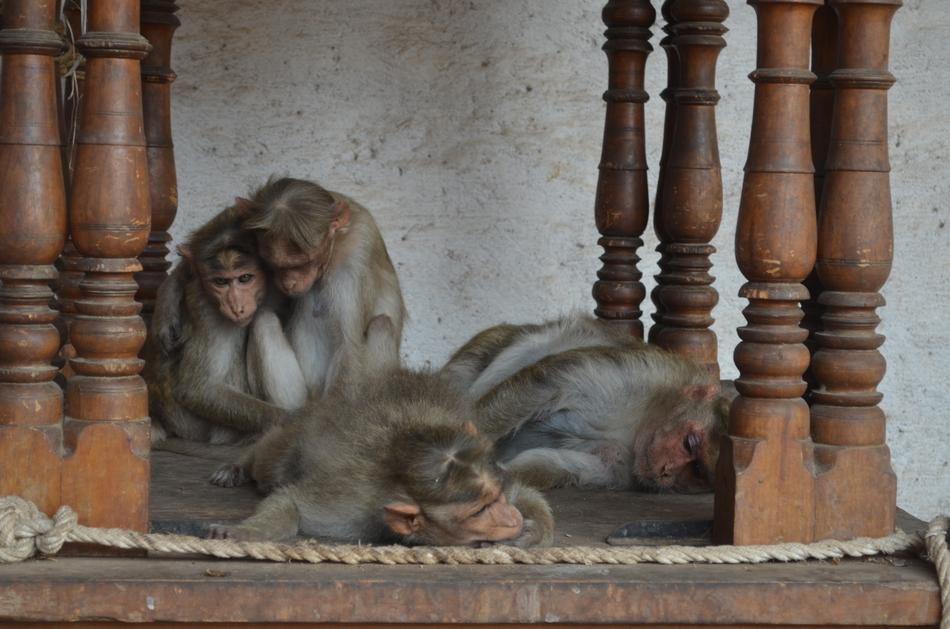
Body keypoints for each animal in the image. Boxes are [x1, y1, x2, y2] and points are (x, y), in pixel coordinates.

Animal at [145, 205, 307, 446]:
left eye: (245, 278)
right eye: (220, 282)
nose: (236, 306)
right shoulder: (208, 311)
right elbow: (200, 389)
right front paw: (294, 422)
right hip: (208, 429)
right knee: (264, 320)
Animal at [151, 177, 407, 399]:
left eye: (303, 264)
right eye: (273, 264)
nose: (289, 282)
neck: (336, 243)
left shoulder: (356, 252)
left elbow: (349, 346)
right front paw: (168, 301)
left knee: (381, 324)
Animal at [207, 315, 554, 548]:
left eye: (496, 497)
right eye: (480, 511)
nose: (511, 518)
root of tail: (377, 374)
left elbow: (526, 494)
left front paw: (532, 531)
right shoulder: (353, 508)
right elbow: (292, 503)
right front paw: (246, 531)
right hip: (308, 427)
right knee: (273, 465)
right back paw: (241, 464)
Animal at [440, 315, 730, 493]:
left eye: (697, 472)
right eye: (688, 444)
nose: (667, 471)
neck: (639, 426)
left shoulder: (623, 466)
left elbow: (570, 466)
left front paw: (502, 476)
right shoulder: (636, 375)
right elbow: (547, 382)